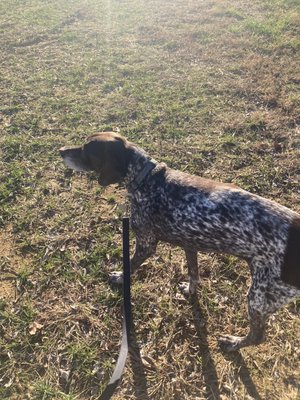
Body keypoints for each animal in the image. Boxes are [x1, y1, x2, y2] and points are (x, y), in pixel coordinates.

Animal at [59, 131, 298, 350]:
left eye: (86, 150)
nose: (61, 151)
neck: (146, 179)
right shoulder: (189, 244)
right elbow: (194, 274)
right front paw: (190, 290)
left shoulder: (146, 244)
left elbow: (130, 266)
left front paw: (119, 277)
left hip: (259, 297)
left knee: (258, 336)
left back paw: (233, 343)